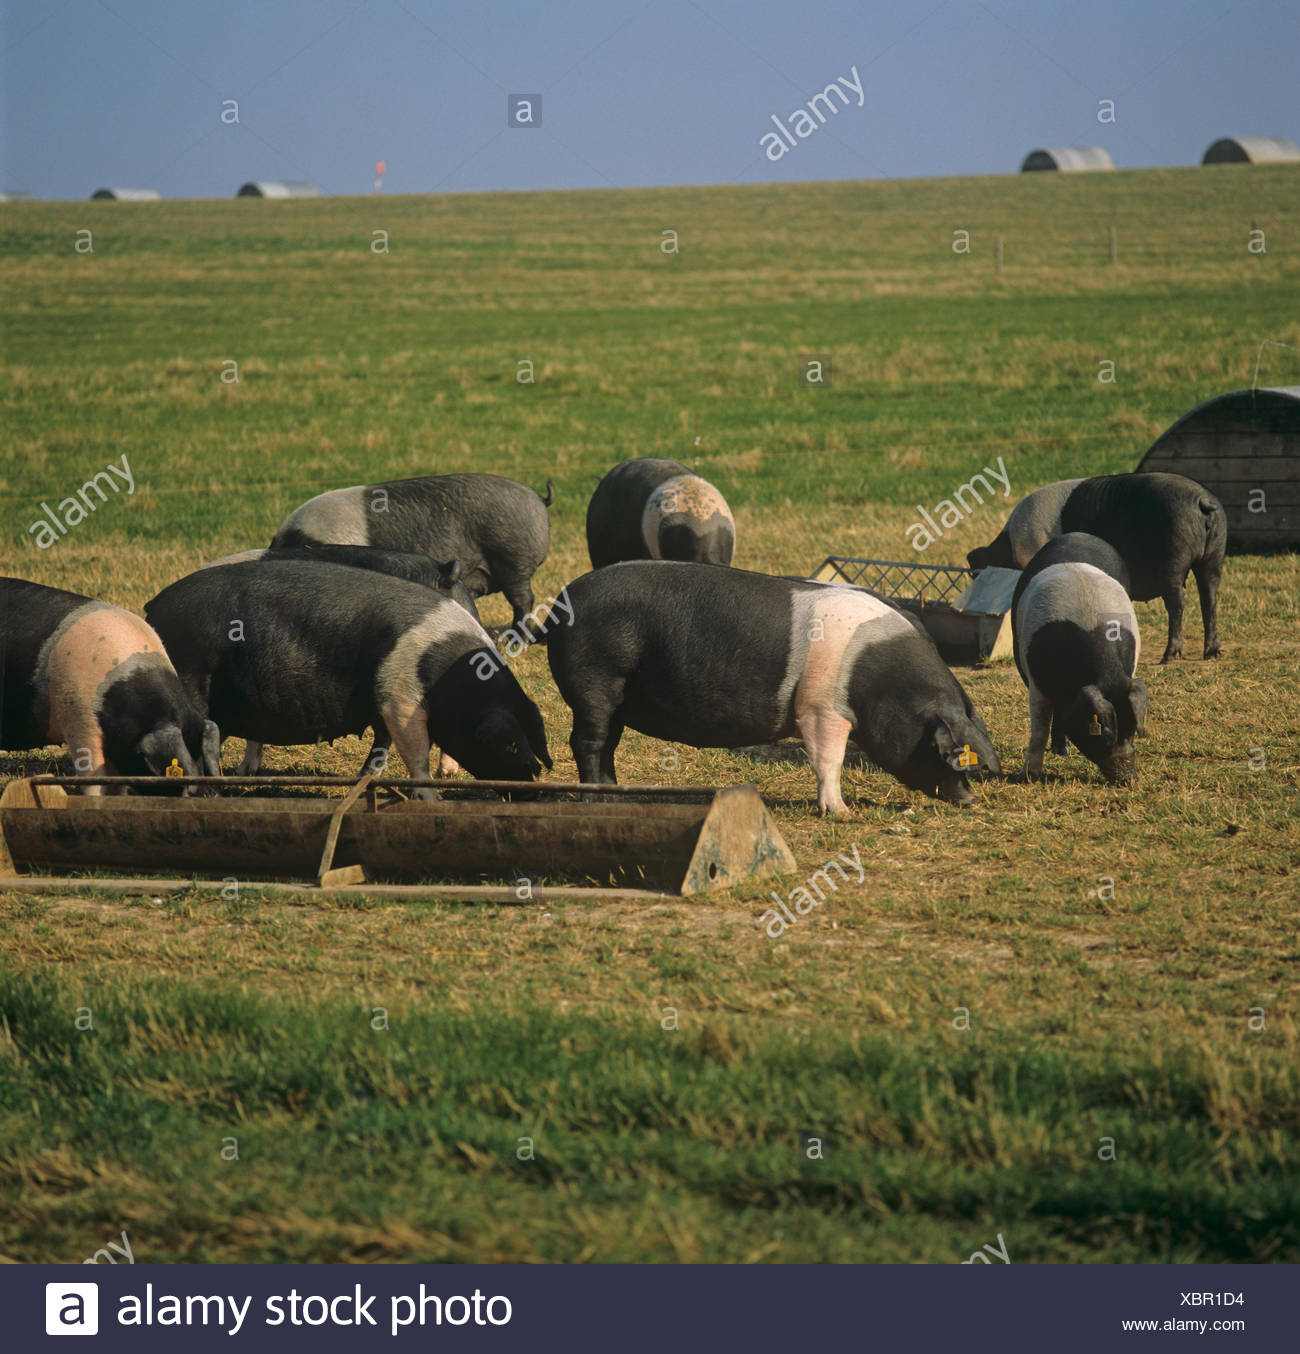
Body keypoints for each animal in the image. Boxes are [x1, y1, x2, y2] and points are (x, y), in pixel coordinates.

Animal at [144, 560, 551, 791]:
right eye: (510, 744)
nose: (535, 774)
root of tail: (152, 609)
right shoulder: (400, 699)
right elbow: (415, 756)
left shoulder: (386, 705)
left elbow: (382, 746)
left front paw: (363, 779)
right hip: (191, 680)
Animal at [546, 562, 1000, 812]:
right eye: (943, 750)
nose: (970, 799)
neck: (881, 682)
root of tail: (560, 606)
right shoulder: (821, 709)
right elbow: (828, 758)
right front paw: (841, 812)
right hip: (595, 682)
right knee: (586, 741)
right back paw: (595, 801)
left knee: (608, 744)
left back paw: (616, 795)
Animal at [968, 472, 1225, 663]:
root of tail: (1202, 502)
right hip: (1215, 554)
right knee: (1210, 599)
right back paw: (1211, 653)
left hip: (1173, 557)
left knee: (1177, 605)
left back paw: (1169, 656)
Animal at [1011, 533, 1148, 785]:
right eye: (1103, 732)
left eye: (1132, 728)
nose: (1129, 779)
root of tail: (1078, 534)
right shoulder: (1036, 683)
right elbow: (1039, 729)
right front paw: (1026, 778)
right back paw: (1059, 751)